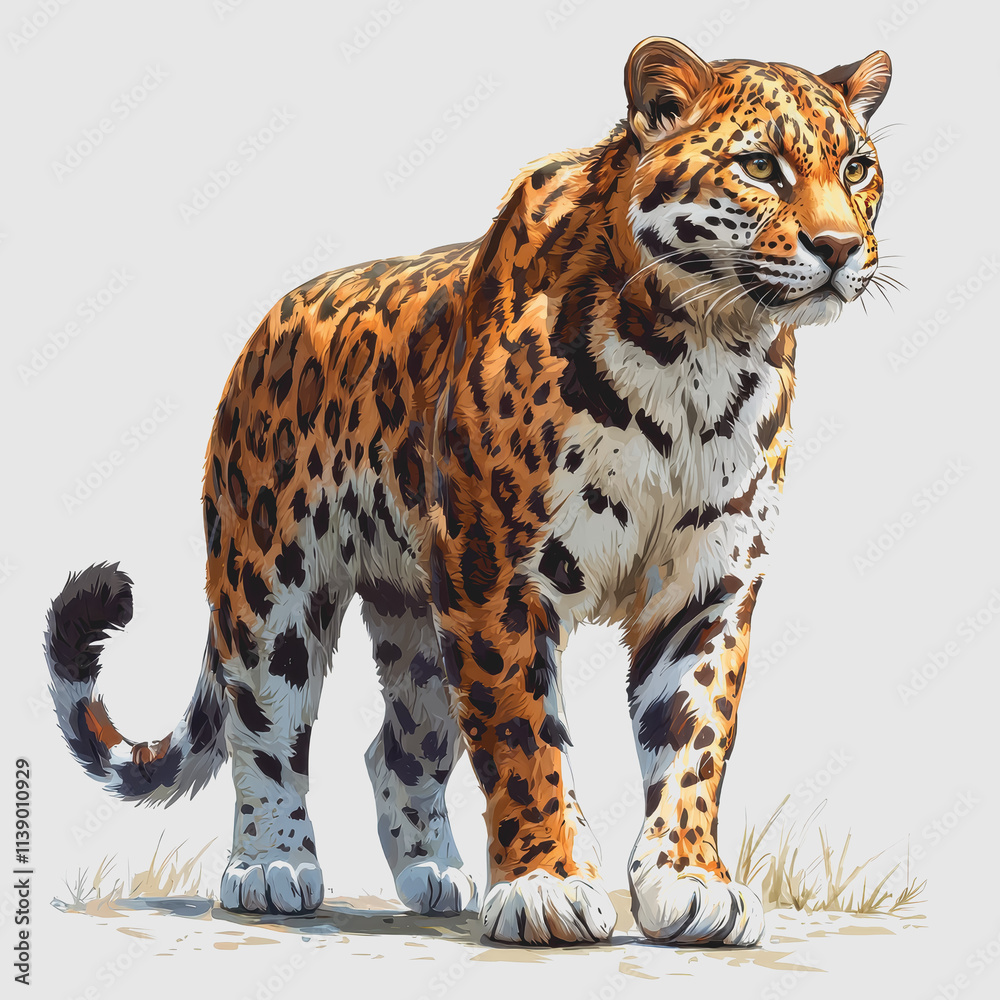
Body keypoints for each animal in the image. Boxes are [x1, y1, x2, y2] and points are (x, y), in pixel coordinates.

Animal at [45, 37, 891, 947]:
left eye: (858, 168)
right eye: (761, 166)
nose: (841, 246)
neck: (697, 352)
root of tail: (269, 326)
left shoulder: (706, 580)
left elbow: (694, 738)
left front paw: (690, 882)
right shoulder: (496, 573)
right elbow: (524, 735)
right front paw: (547, 886)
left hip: (419, 621)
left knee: (397, 746)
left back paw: (435, 876)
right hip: (270, 582)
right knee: (264, 727)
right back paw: (271, 867)